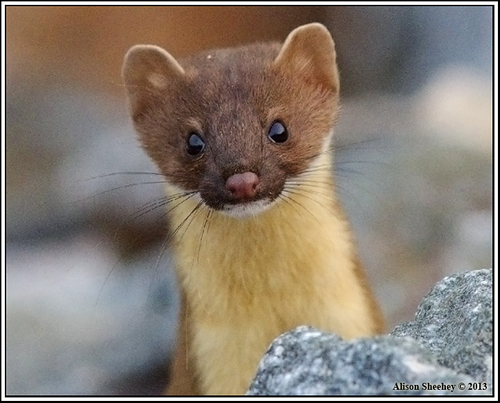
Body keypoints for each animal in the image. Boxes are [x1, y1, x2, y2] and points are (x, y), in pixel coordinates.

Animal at [123, 23, 384, 396]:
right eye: (193, 141)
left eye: (279, 128)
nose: (242, 180)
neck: (274, 311)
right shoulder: (212, 359)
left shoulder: (350, 313)